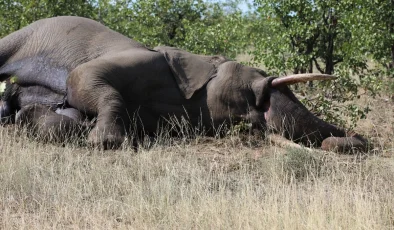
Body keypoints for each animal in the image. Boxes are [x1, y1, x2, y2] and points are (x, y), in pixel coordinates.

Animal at [0, 16, 370, 153]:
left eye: (244, 122)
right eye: (258, 75)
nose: (355, 138)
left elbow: (67, 117)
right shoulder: (147, 58)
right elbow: (82, 77)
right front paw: (106, 143)